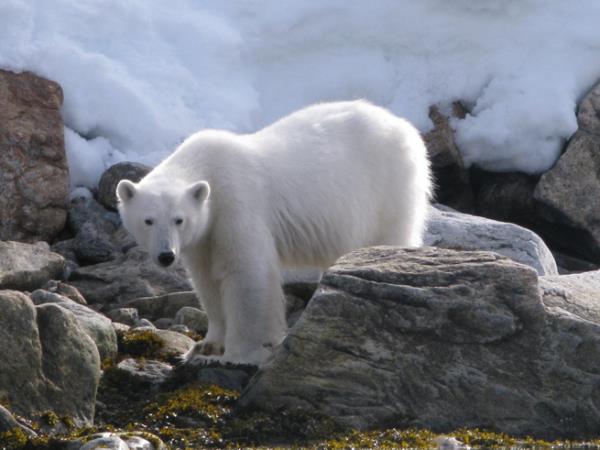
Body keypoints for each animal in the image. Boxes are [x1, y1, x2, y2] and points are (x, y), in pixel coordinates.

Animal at [116, 101, 432, 366]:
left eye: (179, 219)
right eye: (148, 220)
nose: (166, 256)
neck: (208, 168)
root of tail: (404, 126)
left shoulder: (237, 205)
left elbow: (246, 275)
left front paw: (236, 354)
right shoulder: (202, 239)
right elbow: (207, 282)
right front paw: (205, 346)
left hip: (388, 188)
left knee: (390, 235)